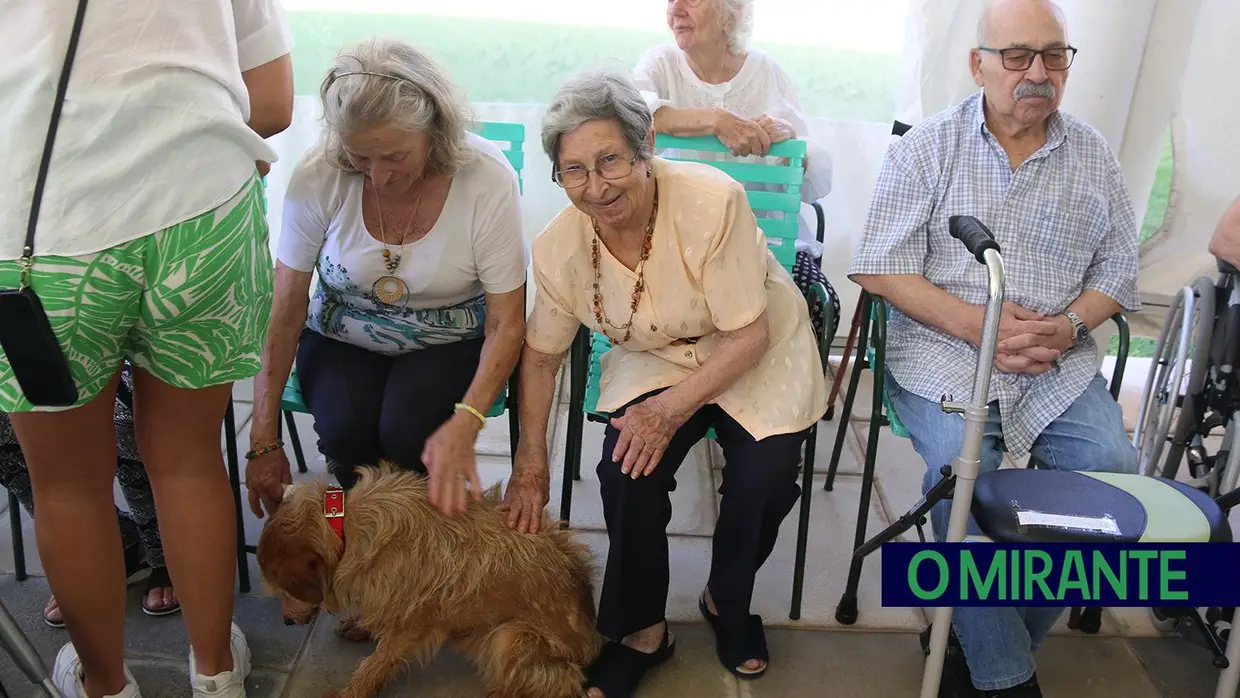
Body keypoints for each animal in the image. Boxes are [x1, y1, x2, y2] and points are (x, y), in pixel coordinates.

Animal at [255, 463, 600, 698]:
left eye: (283, 589)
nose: (286, 622)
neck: (344, 527)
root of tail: (591, 639)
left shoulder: (412, 623)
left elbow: (376, 662)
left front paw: (351, 692)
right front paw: (360, 625)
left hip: (511, 637)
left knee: (556, 681)